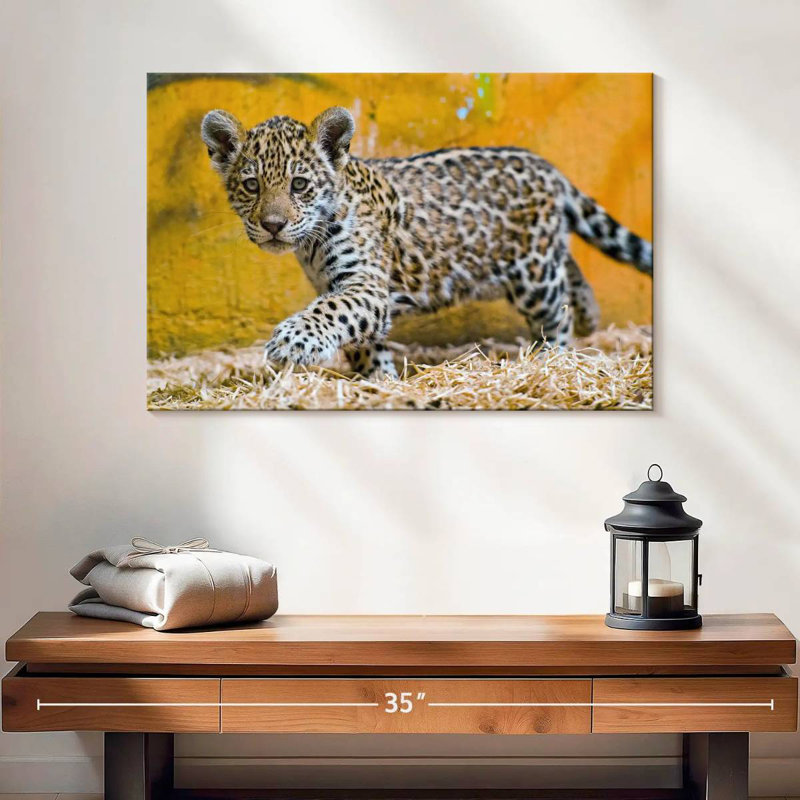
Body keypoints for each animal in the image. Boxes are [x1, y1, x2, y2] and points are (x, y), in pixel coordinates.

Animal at [201, 106, 652, 379]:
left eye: (299, 184)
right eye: (251, 185)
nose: (273, 225)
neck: (311, 243)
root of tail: (548, 167)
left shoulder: (364, 284)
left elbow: (333, 311)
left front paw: (292, 342)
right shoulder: (344, 287)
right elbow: (361, 336)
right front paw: (378, 381)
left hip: (534, 275)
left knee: (555, 314)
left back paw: (552, 361)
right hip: (544, 256)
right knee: (570, 267)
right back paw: (590, 316)